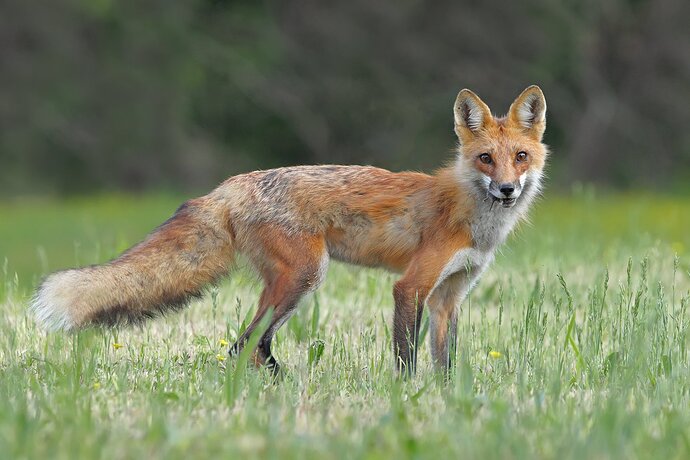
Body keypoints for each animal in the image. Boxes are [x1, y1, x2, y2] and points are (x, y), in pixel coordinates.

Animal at [32, 87, 544, 378]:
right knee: (246, 345)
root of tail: (230, 185)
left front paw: (445, 400)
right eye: (485, 158)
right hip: (305, 275)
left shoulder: (448, 297)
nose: (506, 189)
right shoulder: (411, 287)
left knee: (250, 345)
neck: (471, 216)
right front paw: (406, 398)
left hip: (292, 281)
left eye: (520, 157)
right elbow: (407, 358)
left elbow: (445, 364)